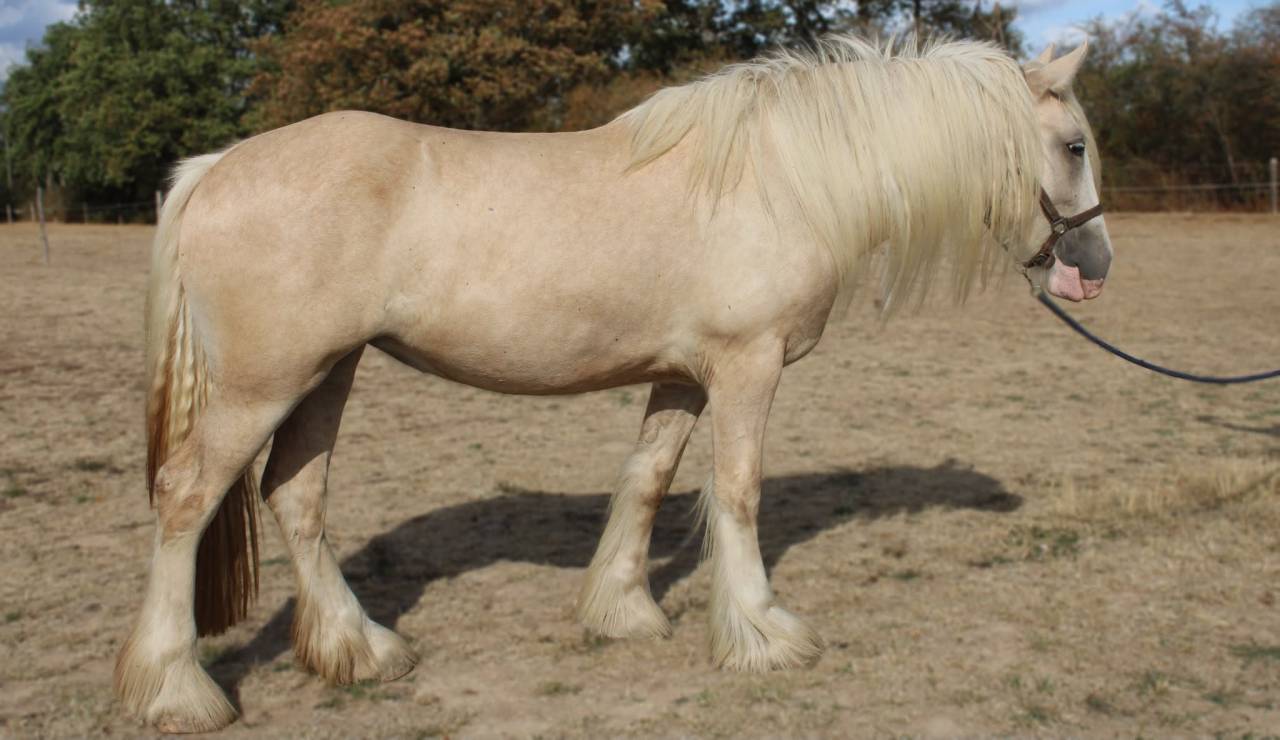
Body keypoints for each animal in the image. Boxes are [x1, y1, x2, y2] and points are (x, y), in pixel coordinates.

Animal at [114, 36, 1112, 732]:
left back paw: (359, 650)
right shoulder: (746, 367)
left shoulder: (682, 379)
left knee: (296, 495)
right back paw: (175, 691)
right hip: (263, 384)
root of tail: (215, 169)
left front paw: (623, 611)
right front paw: (762, 633)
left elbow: (649, 481)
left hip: (328, 372)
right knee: (186, 496)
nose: (1093, 269)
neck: (783, 178)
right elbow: (738, 494)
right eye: (1072, 145)